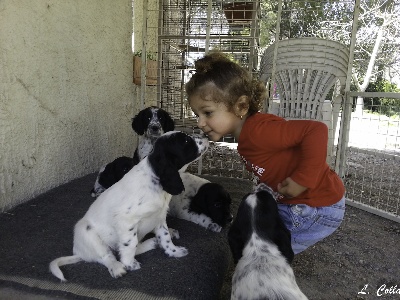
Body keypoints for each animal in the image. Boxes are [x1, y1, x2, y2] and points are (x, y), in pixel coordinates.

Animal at [50, 131, 209, 282]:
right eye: (186, 141)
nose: (206, 135)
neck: (154, 183)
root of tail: (79, 253)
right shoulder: (126, 221)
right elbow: (130, 244)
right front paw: (129, 263)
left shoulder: (159, 217)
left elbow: (165, 237)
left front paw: (174, 251)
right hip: (87, 232)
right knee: (107, 255)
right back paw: (117, 267)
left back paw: (153, 242)